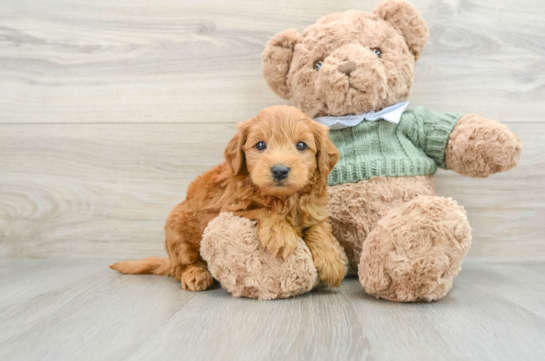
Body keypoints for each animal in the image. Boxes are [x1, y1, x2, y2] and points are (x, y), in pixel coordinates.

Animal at [109, 105, 344, 292]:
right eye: (260, 145)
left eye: (301, 145)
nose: (279, 170)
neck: (282, 199)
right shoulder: (228, 208)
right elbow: (262, 209)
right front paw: (280, 232)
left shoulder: (313, 210)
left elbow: (319, 227)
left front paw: (331, 261)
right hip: (175, 228)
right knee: (183, 264)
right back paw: (196, 274)